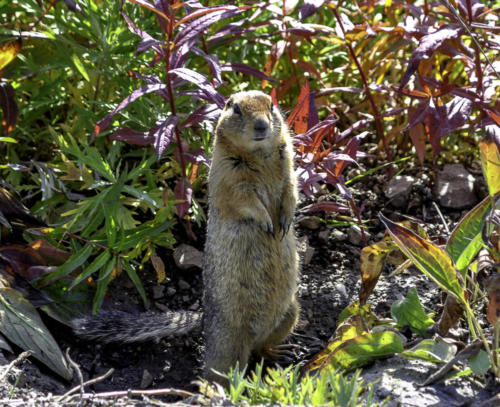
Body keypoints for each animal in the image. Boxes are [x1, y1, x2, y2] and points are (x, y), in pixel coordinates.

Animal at [73, 90, 300, 386]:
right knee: (221, 369)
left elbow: (291, 190)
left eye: (271, 105)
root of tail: (203, 320)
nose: (262, 125)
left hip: (291, 313)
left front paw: (284, 220)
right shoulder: (229, 176)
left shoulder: (288, 163)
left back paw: (278, 351)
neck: (259, 153)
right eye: (236, 109)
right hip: (227, 343)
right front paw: (266, 221)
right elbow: (243, 199)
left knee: (262, 347)